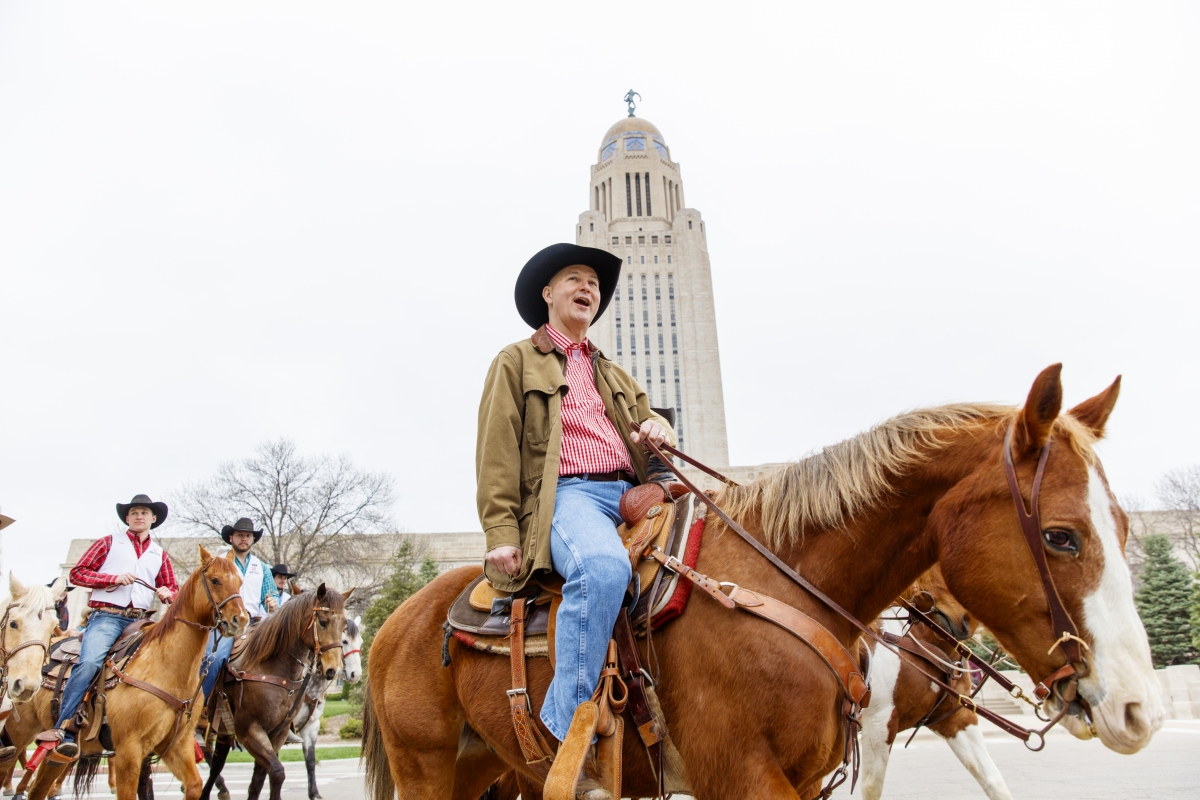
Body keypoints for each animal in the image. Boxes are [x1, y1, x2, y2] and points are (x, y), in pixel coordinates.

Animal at [0, 544, 248, 800]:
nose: (241, 620)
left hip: (55, 753)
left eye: (240, 581)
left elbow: (195, 785)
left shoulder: (177, 746)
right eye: (215, 580)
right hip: (18, 733)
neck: (170, 669)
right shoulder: (129, 751)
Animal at [199, 585, 350, 800]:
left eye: (344, 625)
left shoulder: (278, 733)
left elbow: (258, 781)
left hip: (222, 730)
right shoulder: (250, 731)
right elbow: (277, 772)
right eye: (322, 622)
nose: (334, 670)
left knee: (215, 768)